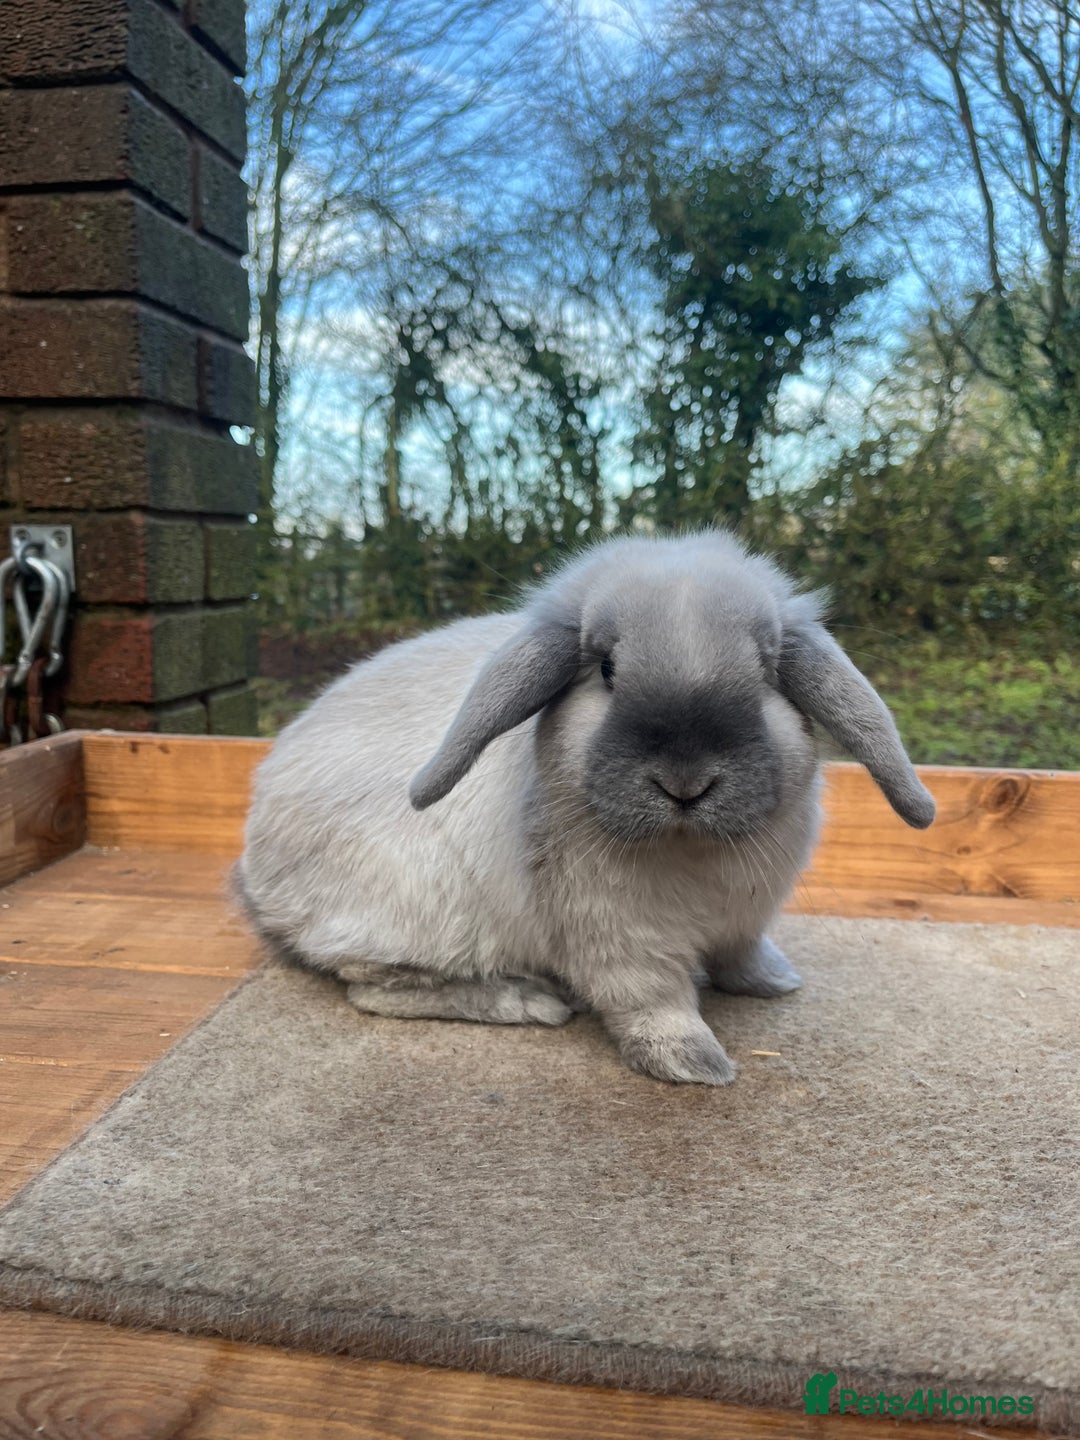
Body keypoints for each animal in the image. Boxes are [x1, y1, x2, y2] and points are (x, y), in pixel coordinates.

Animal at [237, 529, 934, 1086]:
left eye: (765, 674)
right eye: (605, 669)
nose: (685, 784)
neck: (688, 849)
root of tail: (254, 873)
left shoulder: (745, 921)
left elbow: (743, 955)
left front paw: (774, 981)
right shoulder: (620, 941)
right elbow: (654, 1004)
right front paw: (695, 1067)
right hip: (414, 915)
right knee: (374, 988)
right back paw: (528, 1001)